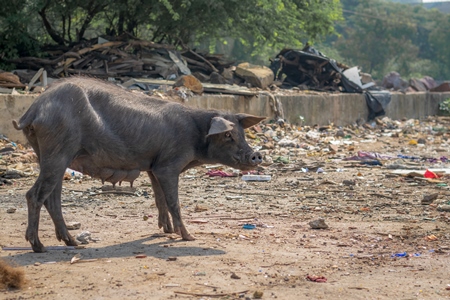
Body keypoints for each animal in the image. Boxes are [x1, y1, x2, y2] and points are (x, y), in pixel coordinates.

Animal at [12, 78, 264, 253]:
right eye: (228, 135)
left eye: (242, 133)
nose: (257, 156)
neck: (196, 136)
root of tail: (33, 110)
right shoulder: (168, 165)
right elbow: (173, 201)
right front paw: (188, 237)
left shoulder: (154, 166)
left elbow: (160, 199)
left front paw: (166, 231)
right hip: (57, 150)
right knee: (34, 195)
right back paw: (39, 247)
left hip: (50, 154)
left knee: (52, 199)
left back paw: (72, 243)